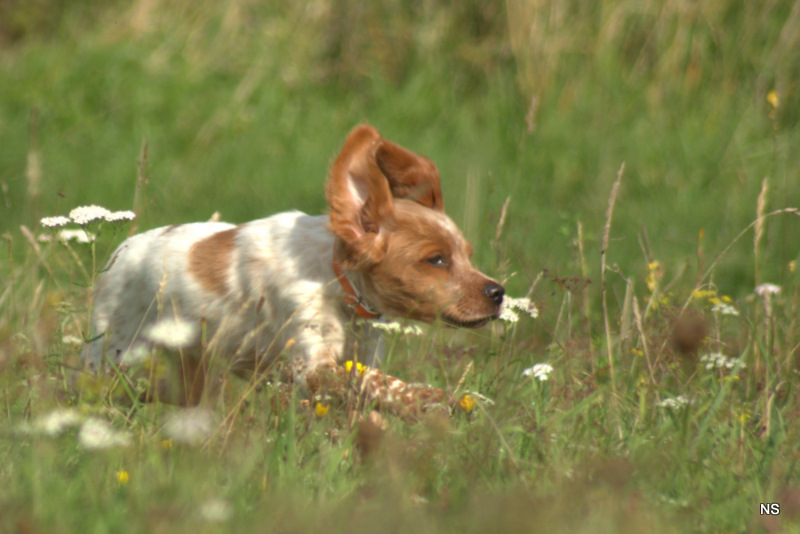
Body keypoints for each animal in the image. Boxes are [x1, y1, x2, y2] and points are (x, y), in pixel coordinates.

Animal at [84, 125, 504, 418]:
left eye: (467, 255)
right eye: (436, 260)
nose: (498, 293)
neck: (337, 282)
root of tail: (121, 251)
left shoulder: (362, 352)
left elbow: (370, 387)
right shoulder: (313, 364)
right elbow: (380, 383)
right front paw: (436, 399)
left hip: (186, 375)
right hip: (113, 356)